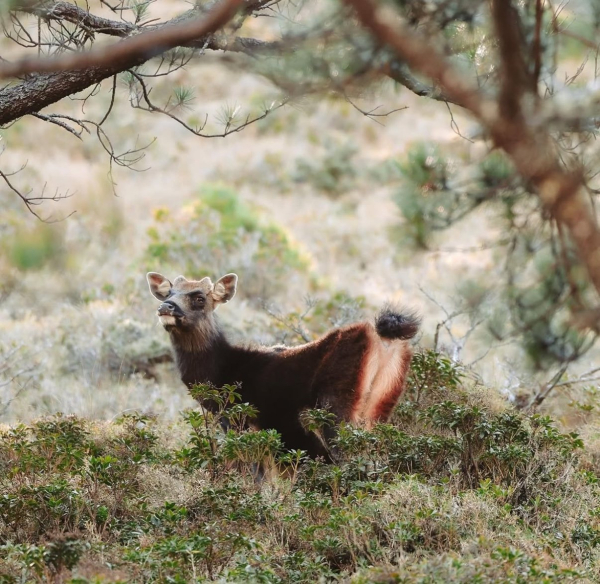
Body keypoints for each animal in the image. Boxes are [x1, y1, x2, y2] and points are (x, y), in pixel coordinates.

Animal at [147, 272, 420, 460]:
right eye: (169, 292)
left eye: (199, 297)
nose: (166, 307)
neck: (221, 371)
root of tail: (380, 338)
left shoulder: (240, 420)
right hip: (381, 404)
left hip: (337, 405)